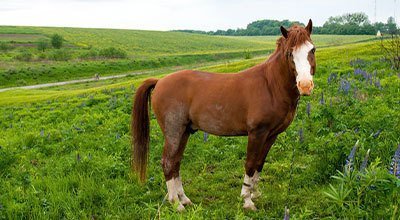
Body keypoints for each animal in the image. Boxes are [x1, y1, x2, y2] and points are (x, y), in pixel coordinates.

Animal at [131, 20, 316, 211]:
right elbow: (250, 164)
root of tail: (160, 81)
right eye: (290, 53)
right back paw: (176, 204)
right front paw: (247, 200)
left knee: (176, 162)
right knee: (168, 162)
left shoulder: (271, 135)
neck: (270, 85)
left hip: (184, 132)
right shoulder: (257, 133)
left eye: (312, 50)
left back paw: (184, 199)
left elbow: (259, 163)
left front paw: (255, 193)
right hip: (174, 132)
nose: (305, 85)